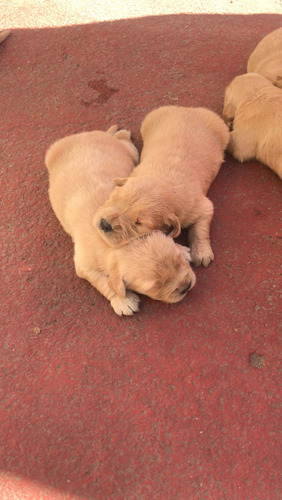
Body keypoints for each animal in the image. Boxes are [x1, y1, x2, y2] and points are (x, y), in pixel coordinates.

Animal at [45, 126, 196, 316]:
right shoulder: (84, 265)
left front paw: (182, 249)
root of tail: (82, 135)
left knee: (123, 141)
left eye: (177, 261)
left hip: (129, 152)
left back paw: (121, 132)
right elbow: (104, 282)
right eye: (156, 286)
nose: (186, 287)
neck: (121, 246)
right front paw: (123, 301)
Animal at [93, 106, 230, 268]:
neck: (163, 180)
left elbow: (201, 227)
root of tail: (187, 108)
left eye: (138, 223)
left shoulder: (199, 206)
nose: (105, 224)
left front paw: (202, 253)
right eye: (115, 197)